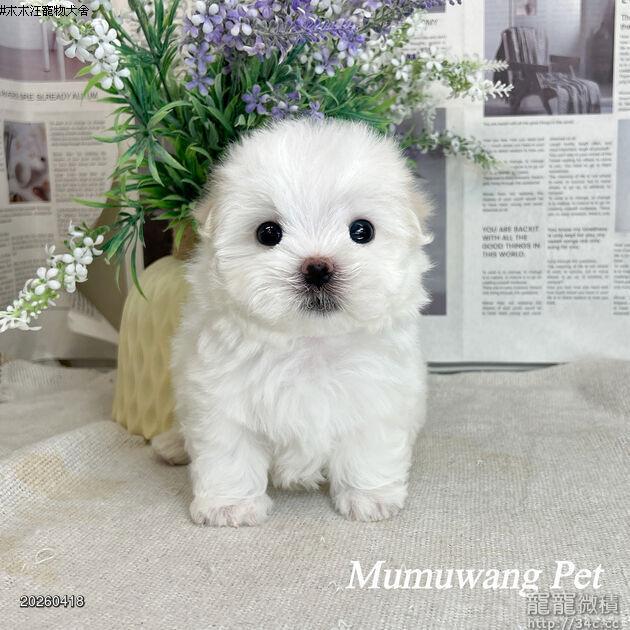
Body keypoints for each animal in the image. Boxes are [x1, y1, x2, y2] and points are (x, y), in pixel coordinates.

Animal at [152, 118, 432, 526]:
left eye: (362, 231)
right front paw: (230, 506)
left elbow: (368, 447)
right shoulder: (219, 396)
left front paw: (370, 498)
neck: (308, 343)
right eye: (268, 233)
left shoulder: (378, 393)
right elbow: (228, 453)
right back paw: (171, 444)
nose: (317, 268)